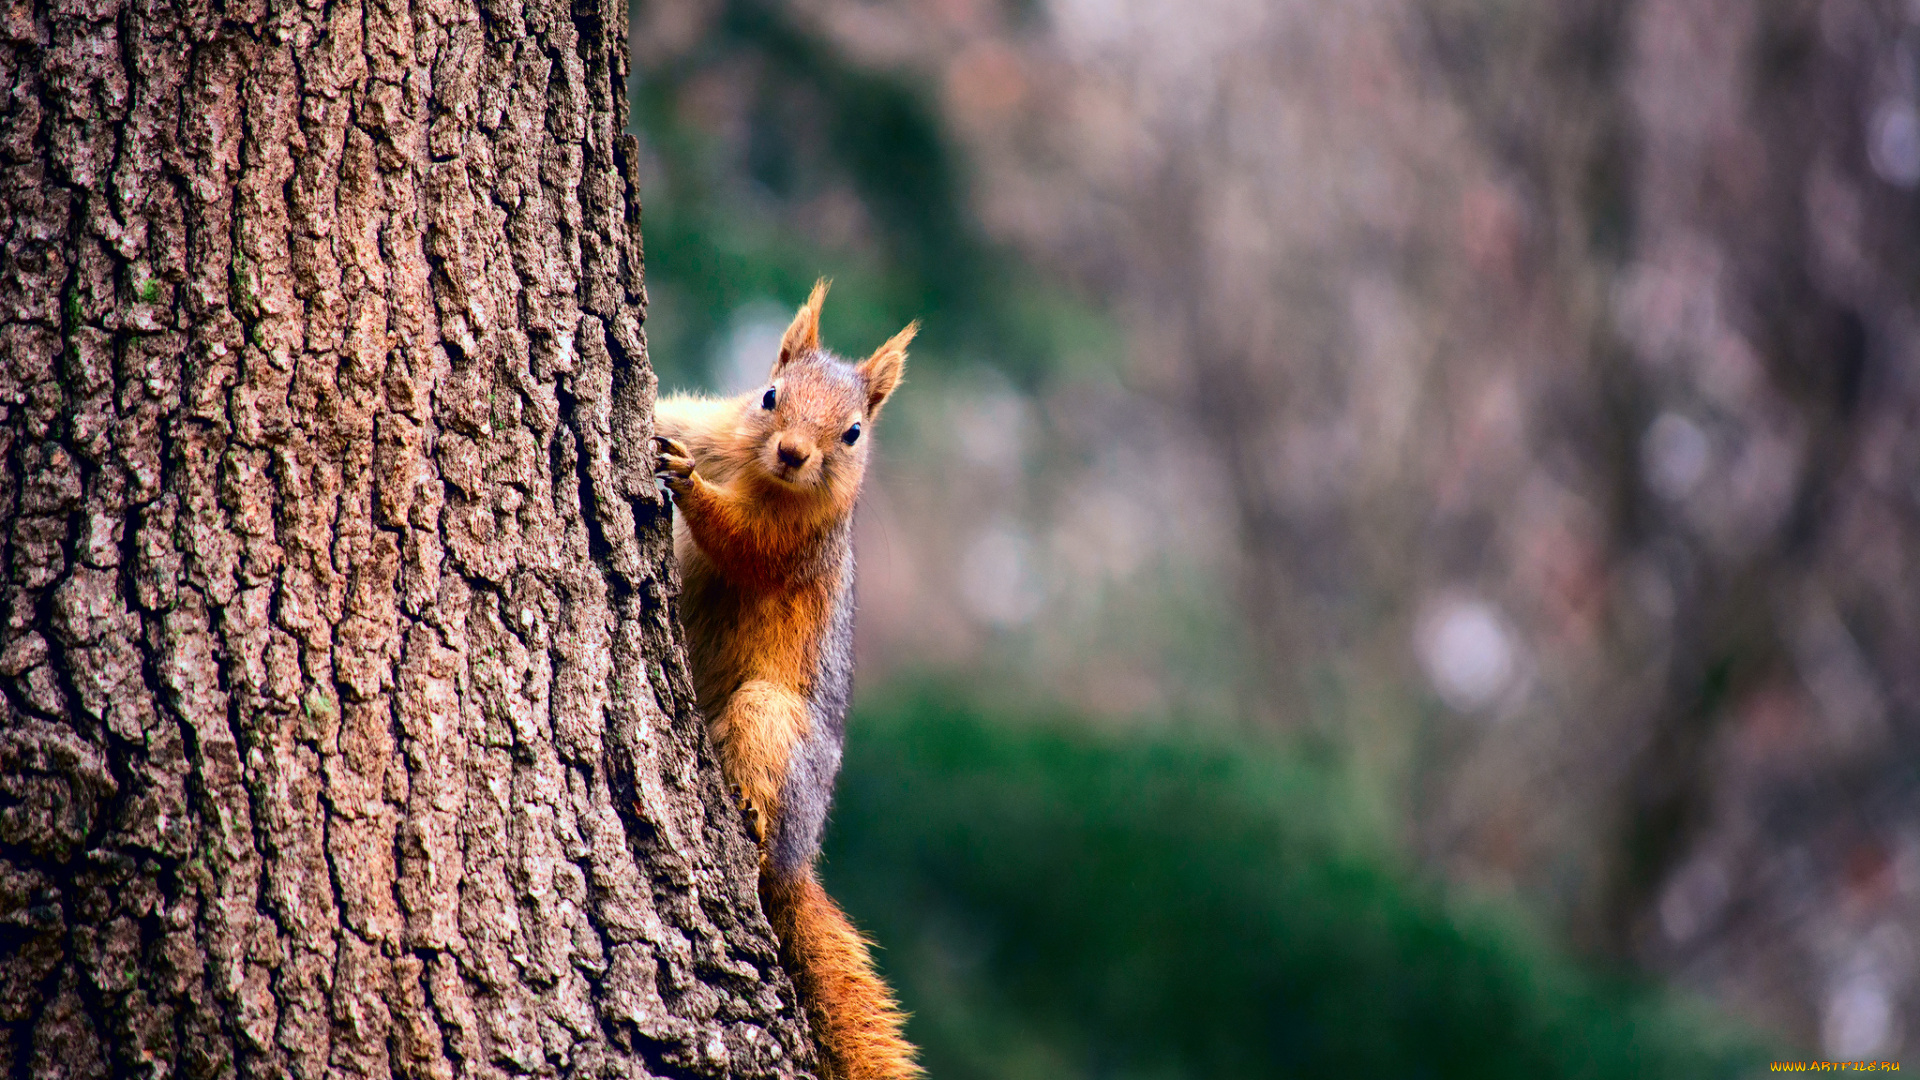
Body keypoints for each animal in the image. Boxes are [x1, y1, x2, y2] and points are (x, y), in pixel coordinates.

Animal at [652, 278, 921, 1076]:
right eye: (769, 395)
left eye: (854, 432)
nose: (795, 454)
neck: (752, 471)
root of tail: (803, 860)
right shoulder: (710, 421)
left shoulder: (796, 542)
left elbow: (742, 543)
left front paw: (688, 486)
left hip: (770, 718)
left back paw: (749, 811)